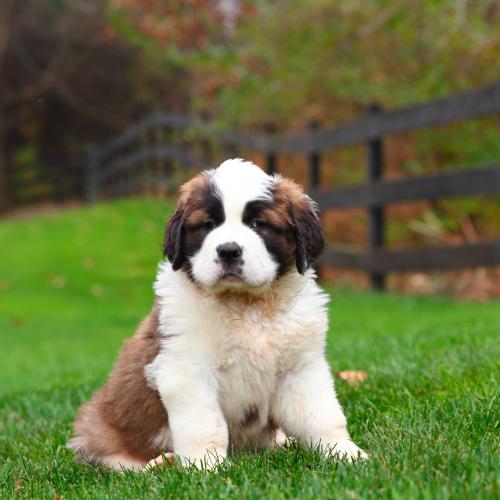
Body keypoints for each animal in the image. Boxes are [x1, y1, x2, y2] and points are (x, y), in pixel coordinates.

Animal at [67, 159, 368, 468]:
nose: (228, 251)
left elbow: (320, 415)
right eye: (208, 225)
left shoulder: (300, 368)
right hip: (100, 426)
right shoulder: (187, 369)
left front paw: (343, 452)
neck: (247, 304)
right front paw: (206, 466)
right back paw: (158, 463)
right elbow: (204, 423)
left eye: (259, 224)